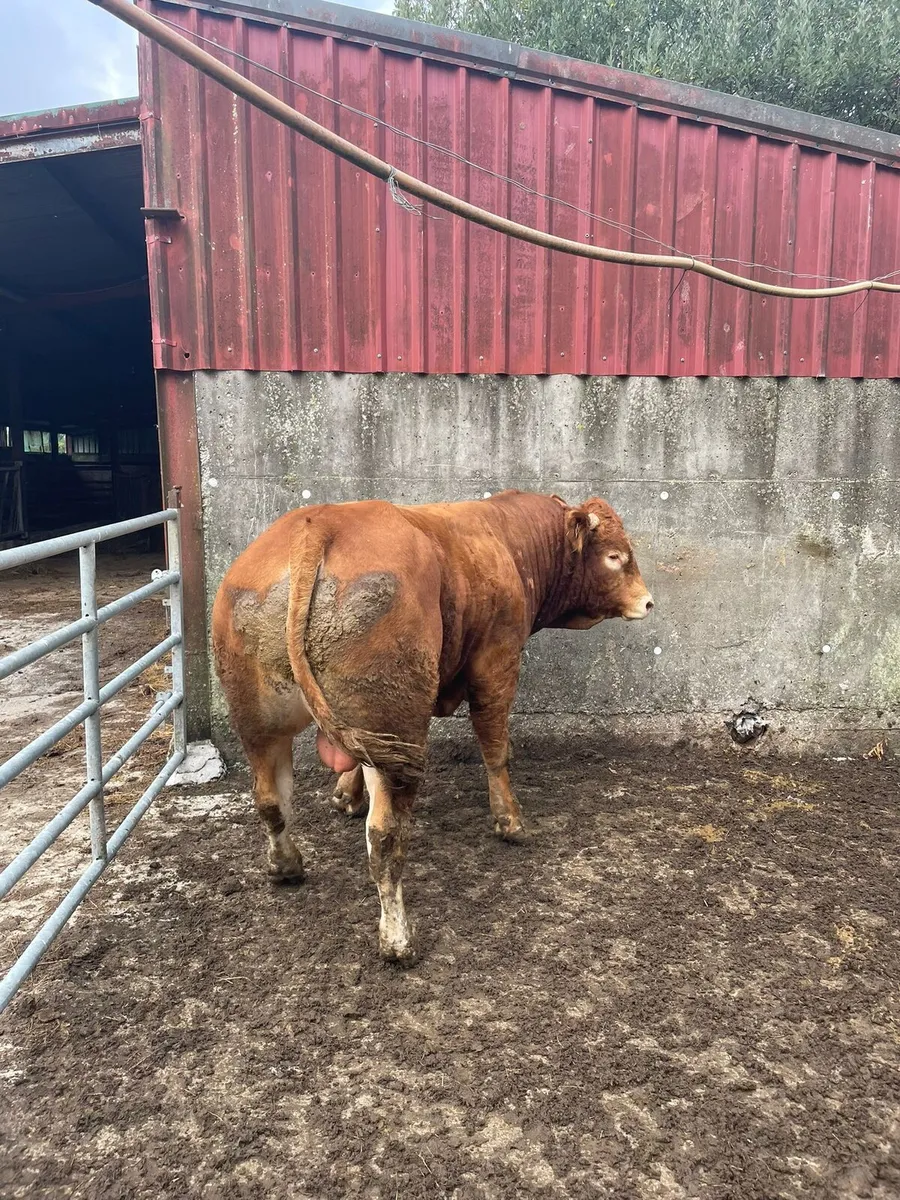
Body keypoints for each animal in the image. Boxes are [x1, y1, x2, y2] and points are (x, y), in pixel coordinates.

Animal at [212, 491, 653, 965]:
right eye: (614, 556)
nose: (648, 602)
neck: (504, 538)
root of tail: (317, 524)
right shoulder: (497, 663)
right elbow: (496, 746)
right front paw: (510, 821)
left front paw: (346, 796)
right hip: (399, 722)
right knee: (385, 837)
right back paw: (398, 940)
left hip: (262, 725)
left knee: (270, 800)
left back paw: (287, 866)